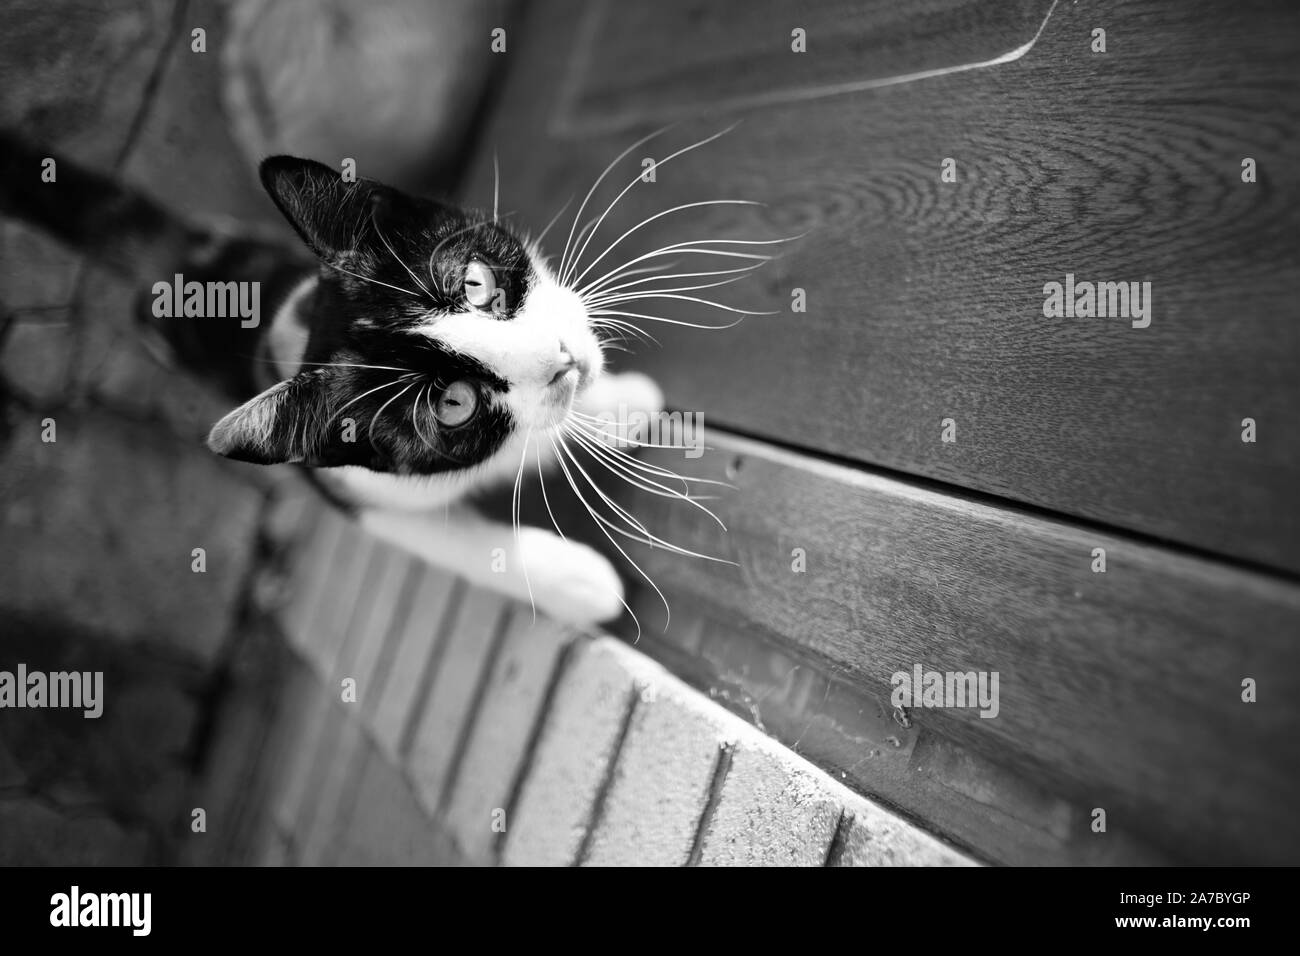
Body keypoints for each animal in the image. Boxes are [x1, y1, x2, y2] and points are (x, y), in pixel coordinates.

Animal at [0, 130, 759, 632]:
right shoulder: (346, 484)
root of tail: (171, 249)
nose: (565, 361)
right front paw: (577, 581)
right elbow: (450, 538)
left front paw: (618, 406)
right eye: (453, 405)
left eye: (476, 283)